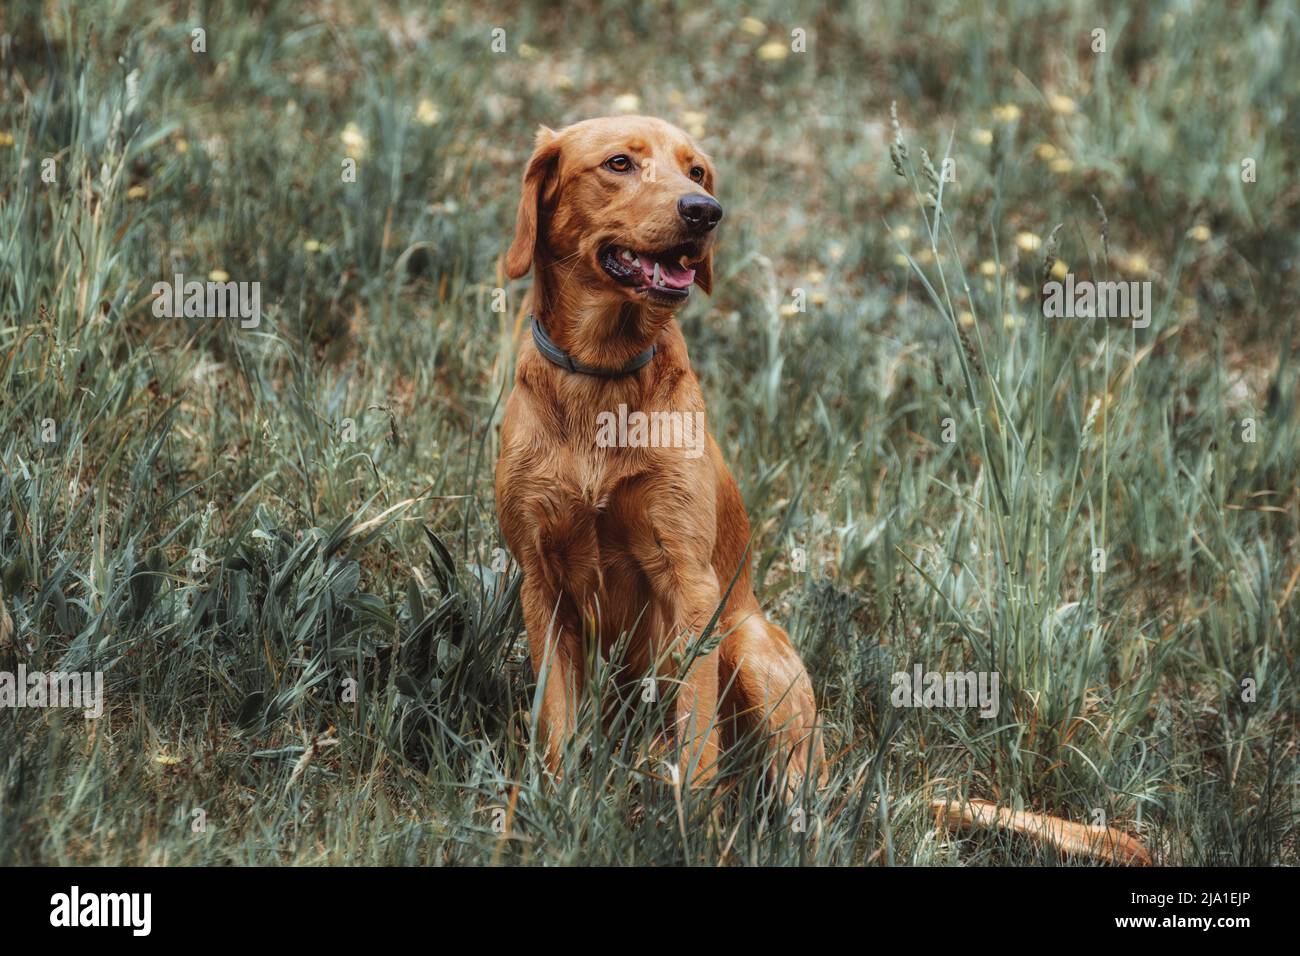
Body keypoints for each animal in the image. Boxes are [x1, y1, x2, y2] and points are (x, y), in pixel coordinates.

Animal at [491, 113, 826, 790]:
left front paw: (692, 811)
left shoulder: (689, 582)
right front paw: (558, 800)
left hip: (749, 643)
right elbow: (557, 722)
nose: (705, 211)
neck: (602, 377)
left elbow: (697, 738)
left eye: (696, 170)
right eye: (620, 163)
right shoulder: (541, 581)